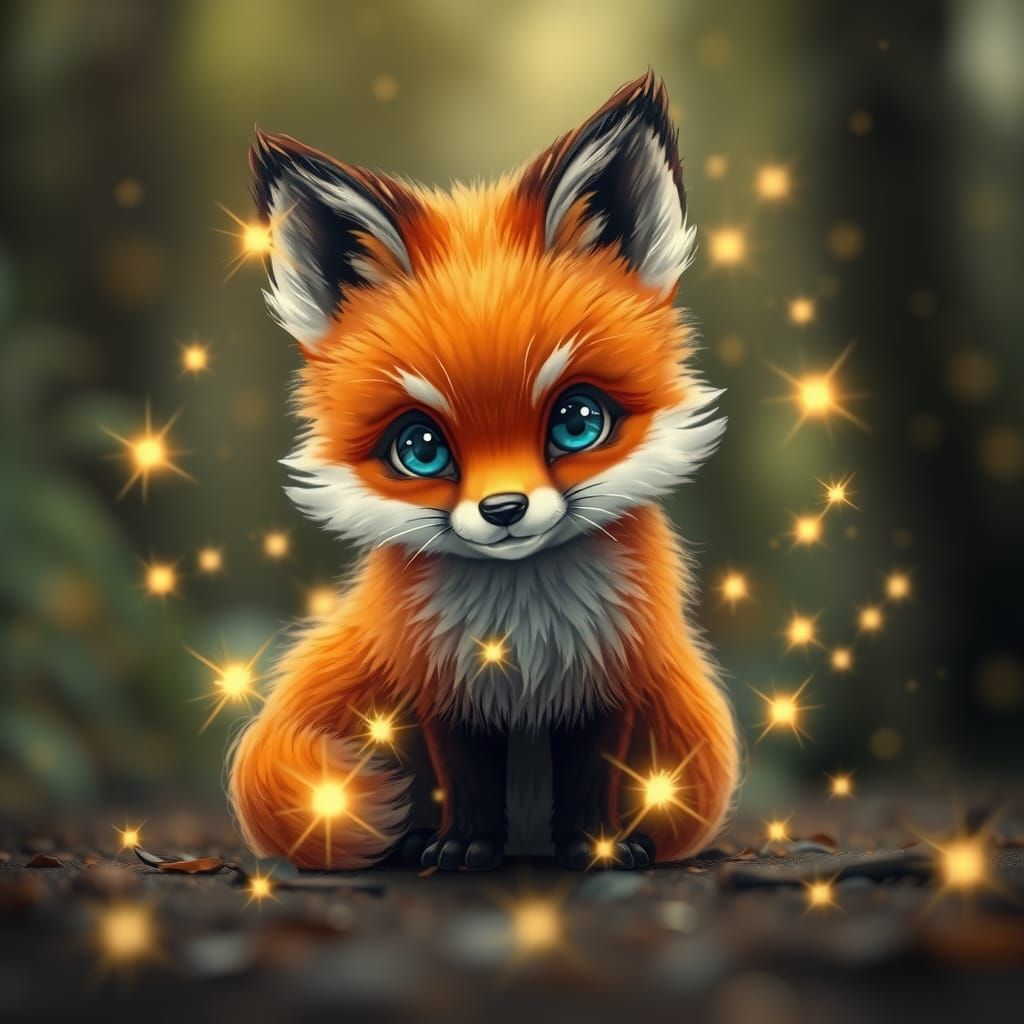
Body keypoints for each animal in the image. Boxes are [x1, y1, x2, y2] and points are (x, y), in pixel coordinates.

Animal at [228, 72, 739, 872]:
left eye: (577, 422)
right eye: (421, 448)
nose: (504, 511)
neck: (520, 632)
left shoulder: (611, 677)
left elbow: (592, 774)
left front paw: (594, 846)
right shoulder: (441, 686)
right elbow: (461, 774)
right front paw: (463, 845)